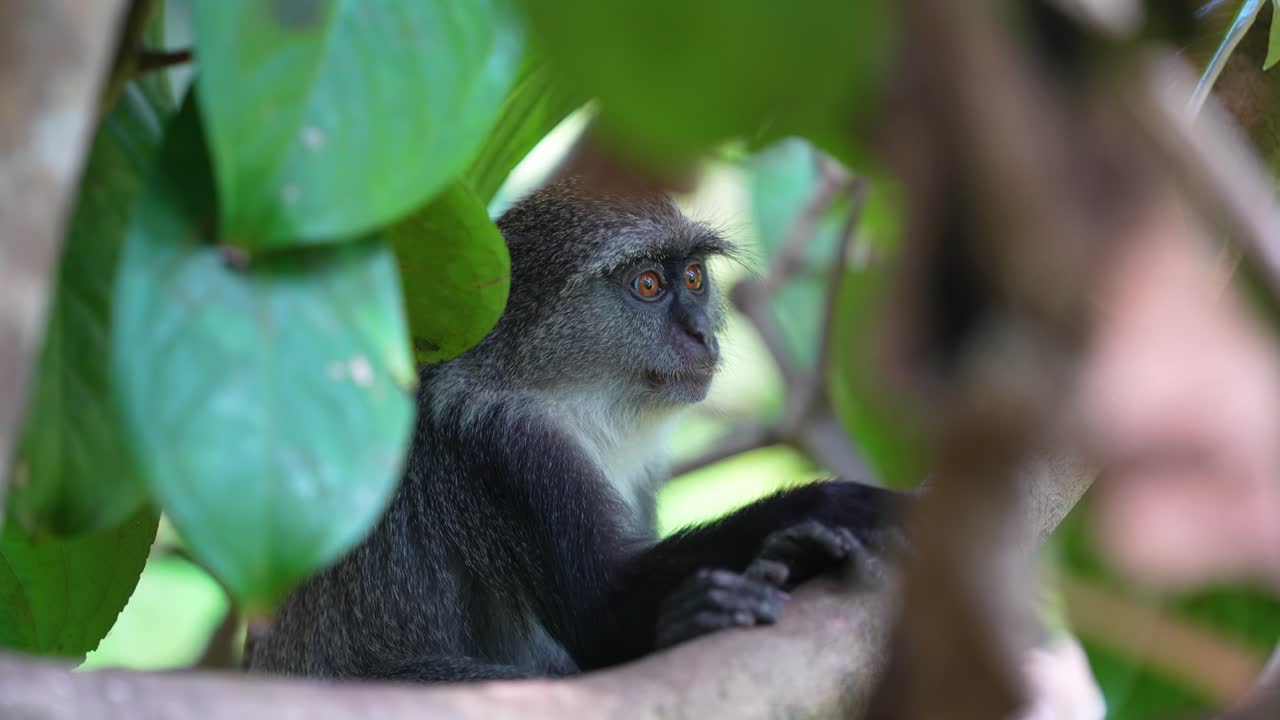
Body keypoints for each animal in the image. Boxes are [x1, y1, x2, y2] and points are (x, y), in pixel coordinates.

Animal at [247, 178, 909, 681]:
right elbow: (603, 611)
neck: (574, 396)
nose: (701, 333)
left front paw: (799, 546)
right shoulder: (505, 445)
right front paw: (840, 507)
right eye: (648, 285)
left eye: (694, 277)